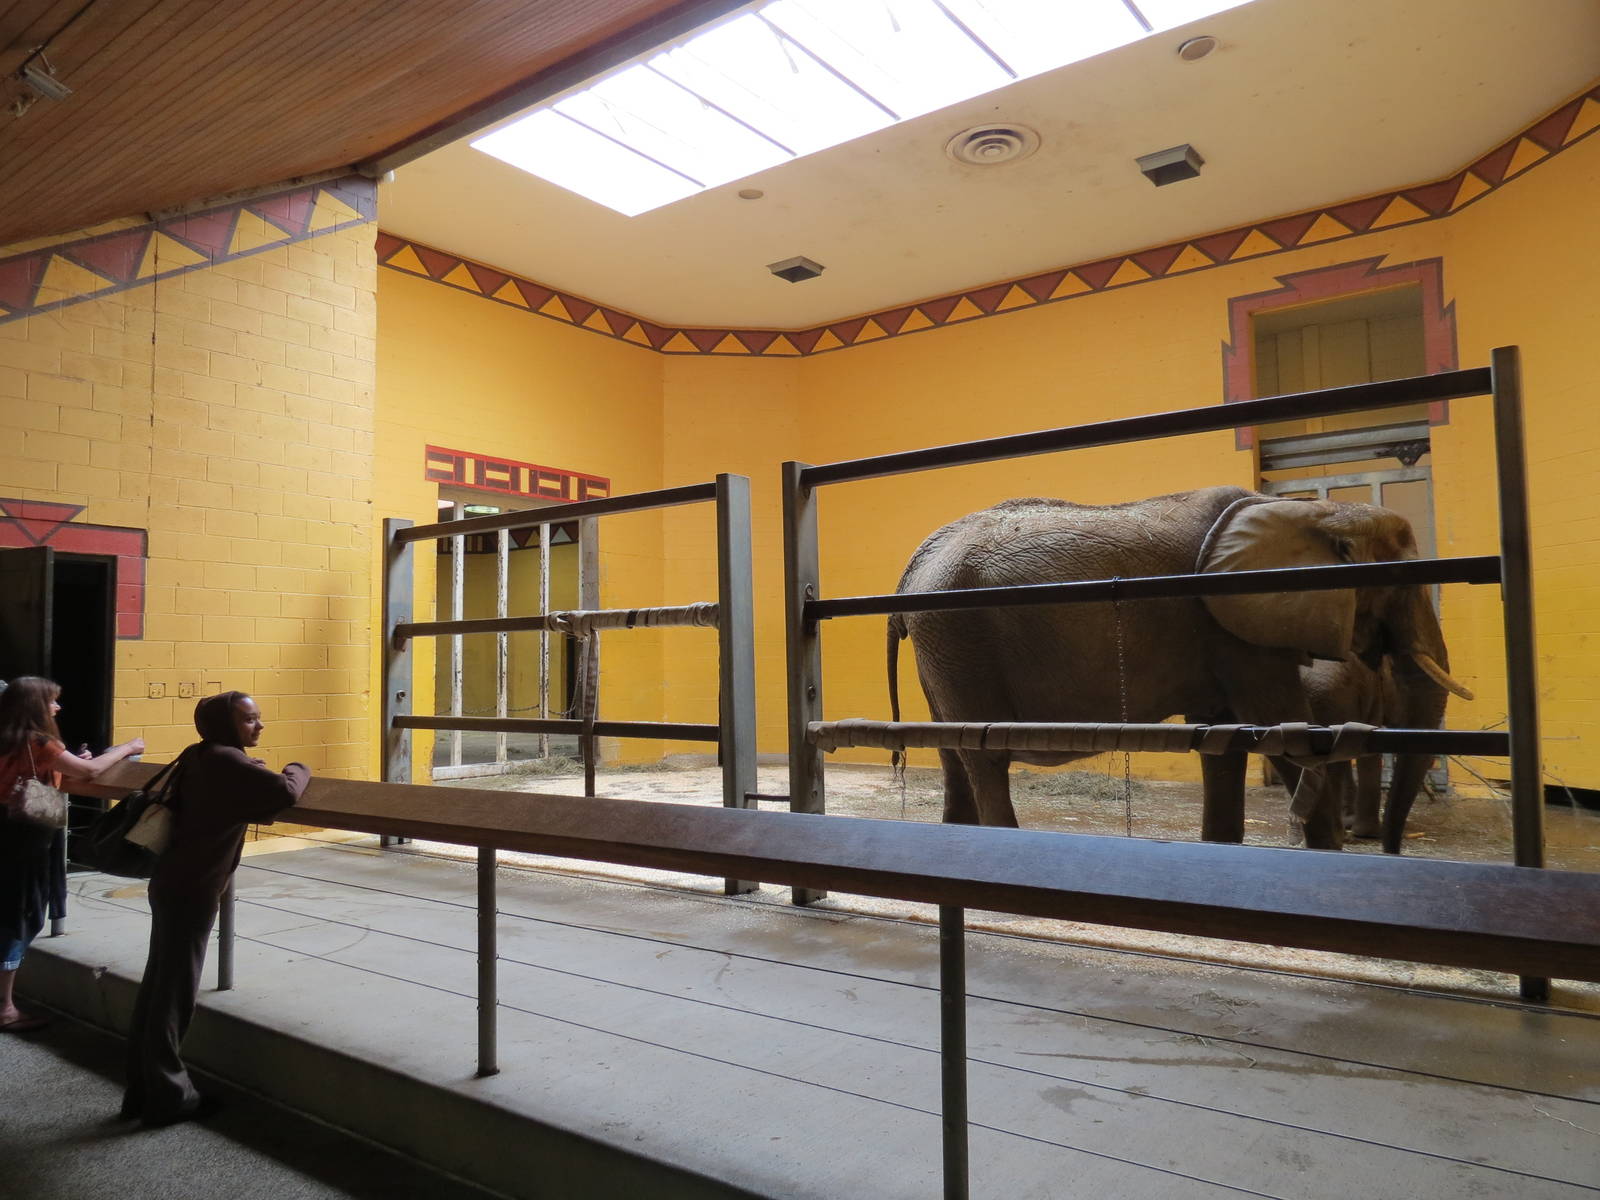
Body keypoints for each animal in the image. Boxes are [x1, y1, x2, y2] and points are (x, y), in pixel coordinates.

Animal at [886, 485, 1470, 851]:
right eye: (1400, 583)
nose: (1392, 850)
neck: (1311, 511)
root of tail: (914, 566)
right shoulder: (1236, 630)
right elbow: (1277, 723)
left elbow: (1222, 735)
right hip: (958, 635)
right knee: (983, 753)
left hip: (943, 649)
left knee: (950, 748)